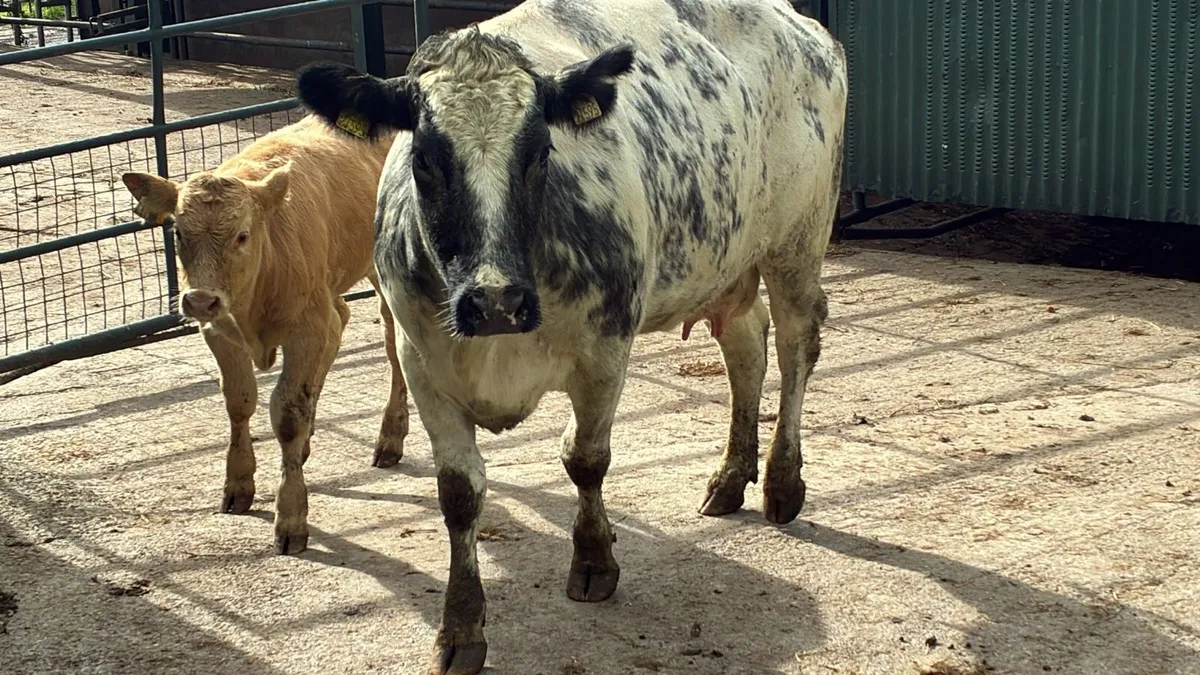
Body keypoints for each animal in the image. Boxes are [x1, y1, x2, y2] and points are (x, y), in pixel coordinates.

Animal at [121, 115, 410, 555]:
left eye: (242, 235)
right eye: (178, 233)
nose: (200, 300)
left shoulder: (306, 328)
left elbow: (288, 415)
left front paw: (290, 517)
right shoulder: (220, 332)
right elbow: (239, 402)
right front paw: (239, 484)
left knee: (394, 349)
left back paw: (390, 438)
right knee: (340, 322)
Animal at [297, 0, 846, 670]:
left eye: (539, 153)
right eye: (424, 159)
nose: (496, 301)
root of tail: (799, 24)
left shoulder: (605, 349)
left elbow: (585, 459)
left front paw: (594, 559)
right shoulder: (422, 361)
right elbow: (458, 494)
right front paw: (461, 627)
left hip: (799, 240)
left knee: (796, 347)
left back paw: (782, 482)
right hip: (726, 260)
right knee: (747, 350)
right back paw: (728, 478)